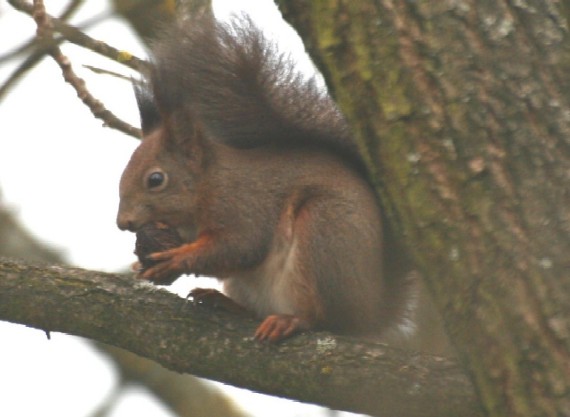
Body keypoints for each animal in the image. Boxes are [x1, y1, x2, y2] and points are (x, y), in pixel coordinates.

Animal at [116, 13, 412, 342]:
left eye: (156, 180)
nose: (123, 223)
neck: (207, 185)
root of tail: (372, 313)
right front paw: (142, 262)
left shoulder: (244, 204)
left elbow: (240, 246)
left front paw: (176, 258)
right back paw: (224, 302)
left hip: (324, 235)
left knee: (324, 318)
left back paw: (293, 320)